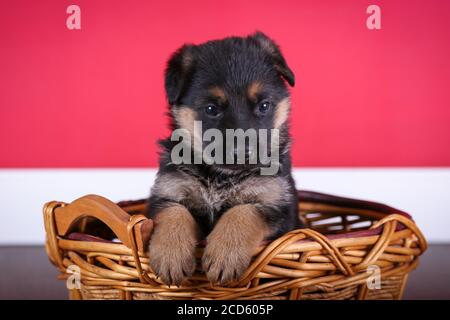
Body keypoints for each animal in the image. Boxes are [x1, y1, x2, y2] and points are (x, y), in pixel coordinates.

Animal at [148, 32, 300, 286]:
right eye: (211, 109)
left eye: (264, 106)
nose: (243, 152)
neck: (221, 177)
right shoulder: (166, 193)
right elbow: (174, 212)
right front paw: (171, 254)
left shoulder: (279, 208)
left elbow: (243, 211)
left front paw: (225, 254)